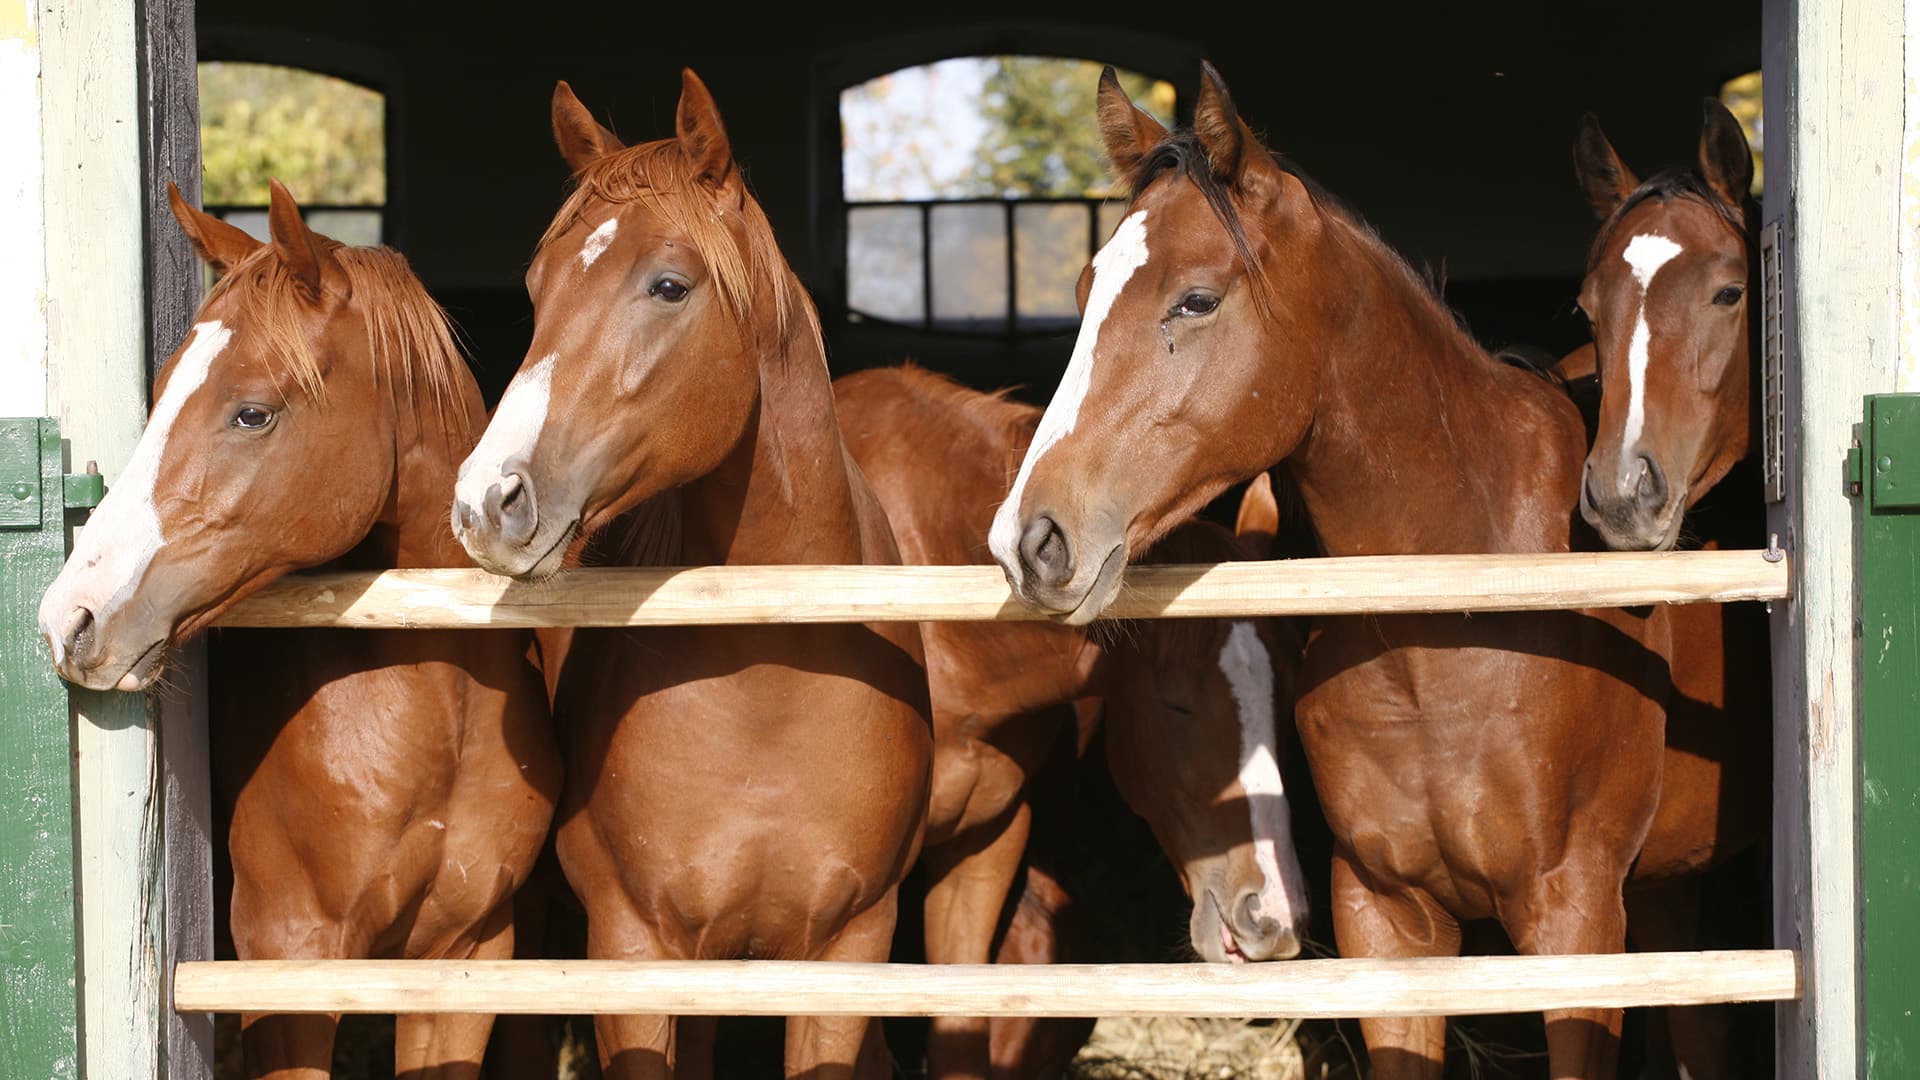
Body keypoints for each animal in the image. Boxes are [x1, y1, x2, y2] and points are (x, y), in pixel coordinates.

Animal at [443, 71, 936, 1068]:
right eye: (538, 289)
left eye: (668, 286)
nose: (488, 499)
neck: (774, 683)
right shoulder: (632, 951)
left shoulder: (848, 953)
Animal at [990, 62, 1681, 1068]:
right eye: (1085, 291)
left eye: (1196, 300)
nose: (1029, 539)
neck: (1448, 631)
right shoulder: (1385, 921)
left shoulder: (1579, 921)